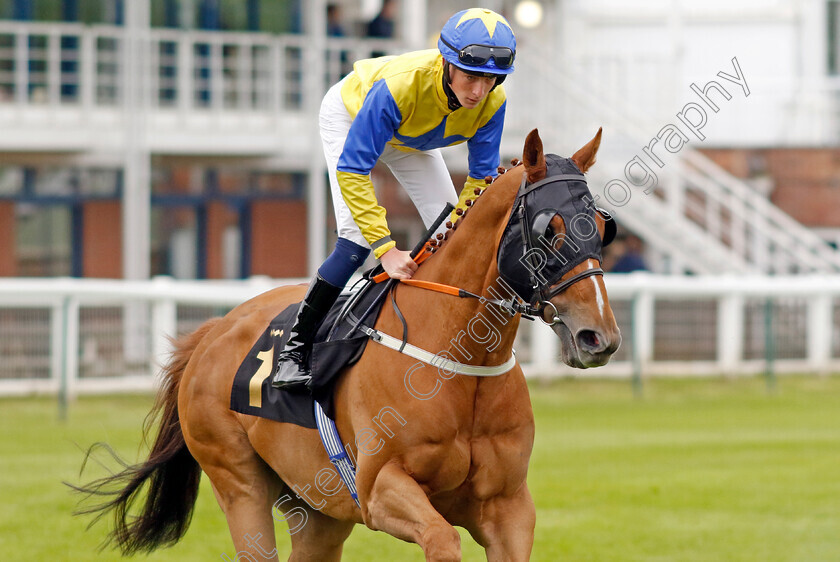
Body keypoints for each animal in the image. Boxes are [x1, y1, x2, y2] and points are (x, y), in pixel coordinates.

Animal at [72, 129, 620, 556]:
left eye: (602, 227)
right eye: (549, 228)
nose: (599, 337)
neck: (458, 359)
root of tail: (214, 331)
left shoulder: (508, 509)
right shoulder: (380, 490)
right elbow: (442, 538)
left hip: (317, 509)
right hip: (238, 482)